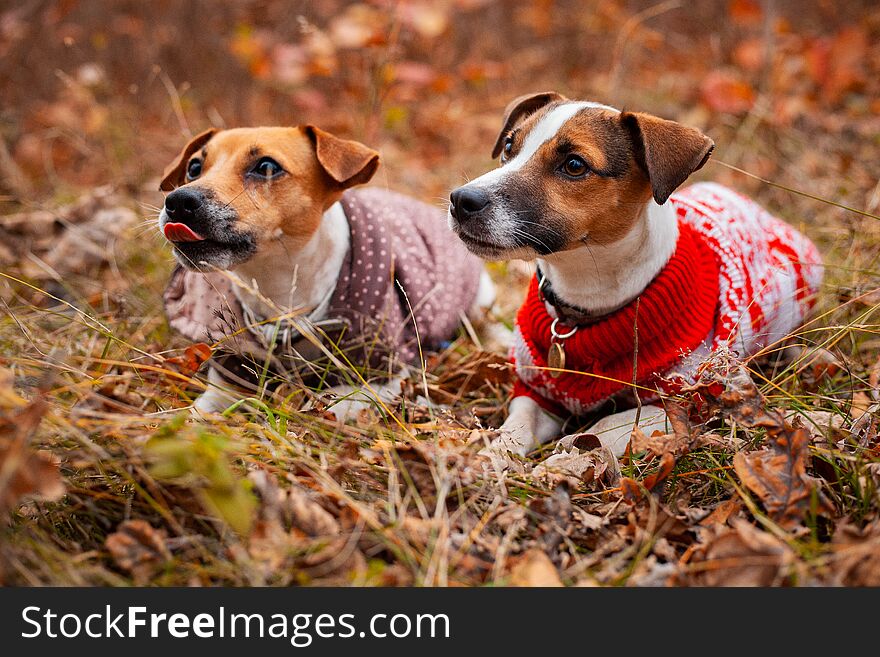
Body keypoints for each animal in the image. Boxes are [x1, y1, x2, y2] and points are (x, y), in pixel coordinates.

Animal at [156, 126, 488, 416]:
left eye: (266, 166)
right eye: (194, 167)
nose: (179, 201)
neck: (279, 292)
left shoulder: (380, 378)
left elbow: (332, 408)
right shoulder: (233, 371)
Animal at [450, 91, 820, 462]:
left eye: (574, 165)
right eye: (509, 145)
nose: (461, 199)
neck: (581, 306)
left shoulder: (685, 400)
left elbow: (609, 424)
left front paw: (572, 452)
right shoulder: (536, 389)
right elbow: (519, 423)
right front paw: (493, 454)